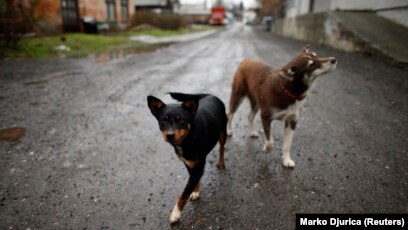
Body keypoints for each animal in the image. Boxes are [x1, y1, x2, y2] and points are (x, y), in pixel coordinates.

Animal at [147, 92, 230, 224]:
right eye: (163, 120)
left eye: (181, 120)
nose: (170, 135)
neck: (188, 138)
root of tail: (210, 95)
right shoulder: (188, 163)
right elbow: (192, 181)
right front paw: (195, 191)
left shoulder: (199, 166)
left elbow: (183, 193)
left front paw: (175, 213)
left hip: (222, 132)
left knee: (222, 147)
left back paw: (221, 163)